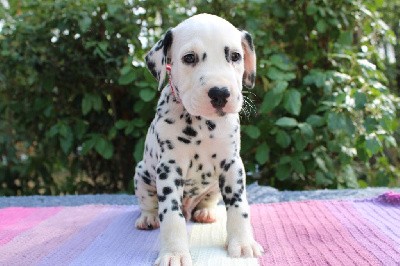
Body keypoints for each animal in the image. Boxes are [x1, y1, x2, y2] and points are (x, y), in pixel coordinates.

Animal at [135, 13, 262, 264]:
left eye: (235, 56)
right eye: (189, 58)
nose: (220, 93)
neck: (203, 125)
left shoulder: (233, 165)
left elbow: (239, 207)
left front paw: (242, 243)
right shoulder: (169, 169)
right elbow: (171, 216)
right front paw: (174, 253)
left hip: (213, 187)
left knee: (208, 200)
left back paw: (206, 212)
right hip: (142, 173)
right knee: (149, 203)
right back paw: (148, 218)